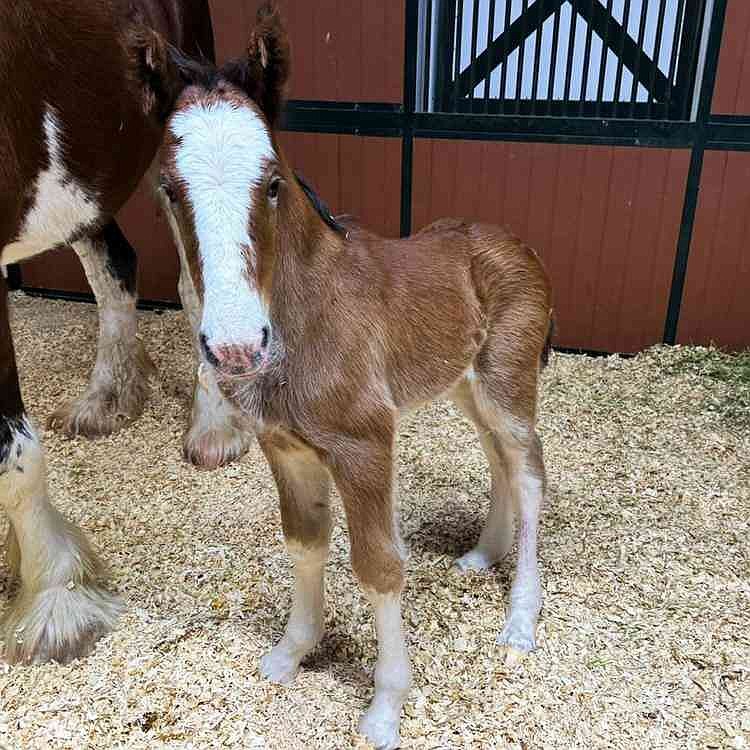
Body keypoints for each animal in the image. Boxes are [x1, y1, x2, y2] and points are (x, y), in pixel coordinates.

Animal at [150, 4, 556, 748]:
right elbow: (305, 544)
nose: (235, 347)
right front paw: (291, 653)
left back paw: (520, 620)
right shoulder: (286, 448)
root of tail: (517, 243)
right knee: (497, 458)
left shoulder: (364, 445)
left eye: (272, 182)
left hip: (507, 381)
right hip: (463, 384)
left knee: (530, 472)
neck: (307, 314)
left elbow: (378, 566)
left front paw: (386, 705)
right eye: (169, 187)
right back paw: (482, 555)